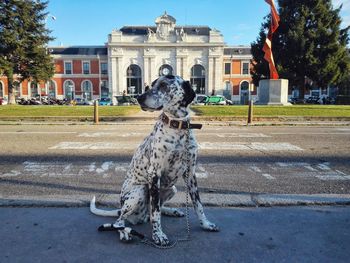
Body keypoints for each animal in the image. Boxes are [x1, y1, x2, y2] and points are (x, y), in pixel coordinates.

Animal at [89, 75, 219, 246]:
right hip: (140, 191)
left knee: (151, 212)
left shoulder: (191, 174)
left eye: (164, 85)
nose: (139, 98)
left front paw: (206, 224)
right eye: (150, 85)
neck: (178, 128)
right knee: (120, 221)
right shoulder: (154, 174)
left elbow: (198, 204)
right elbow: (156, 212)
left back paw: (171, 211)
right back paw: (124, 232)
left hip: (172, 188)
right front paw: (158, 235)